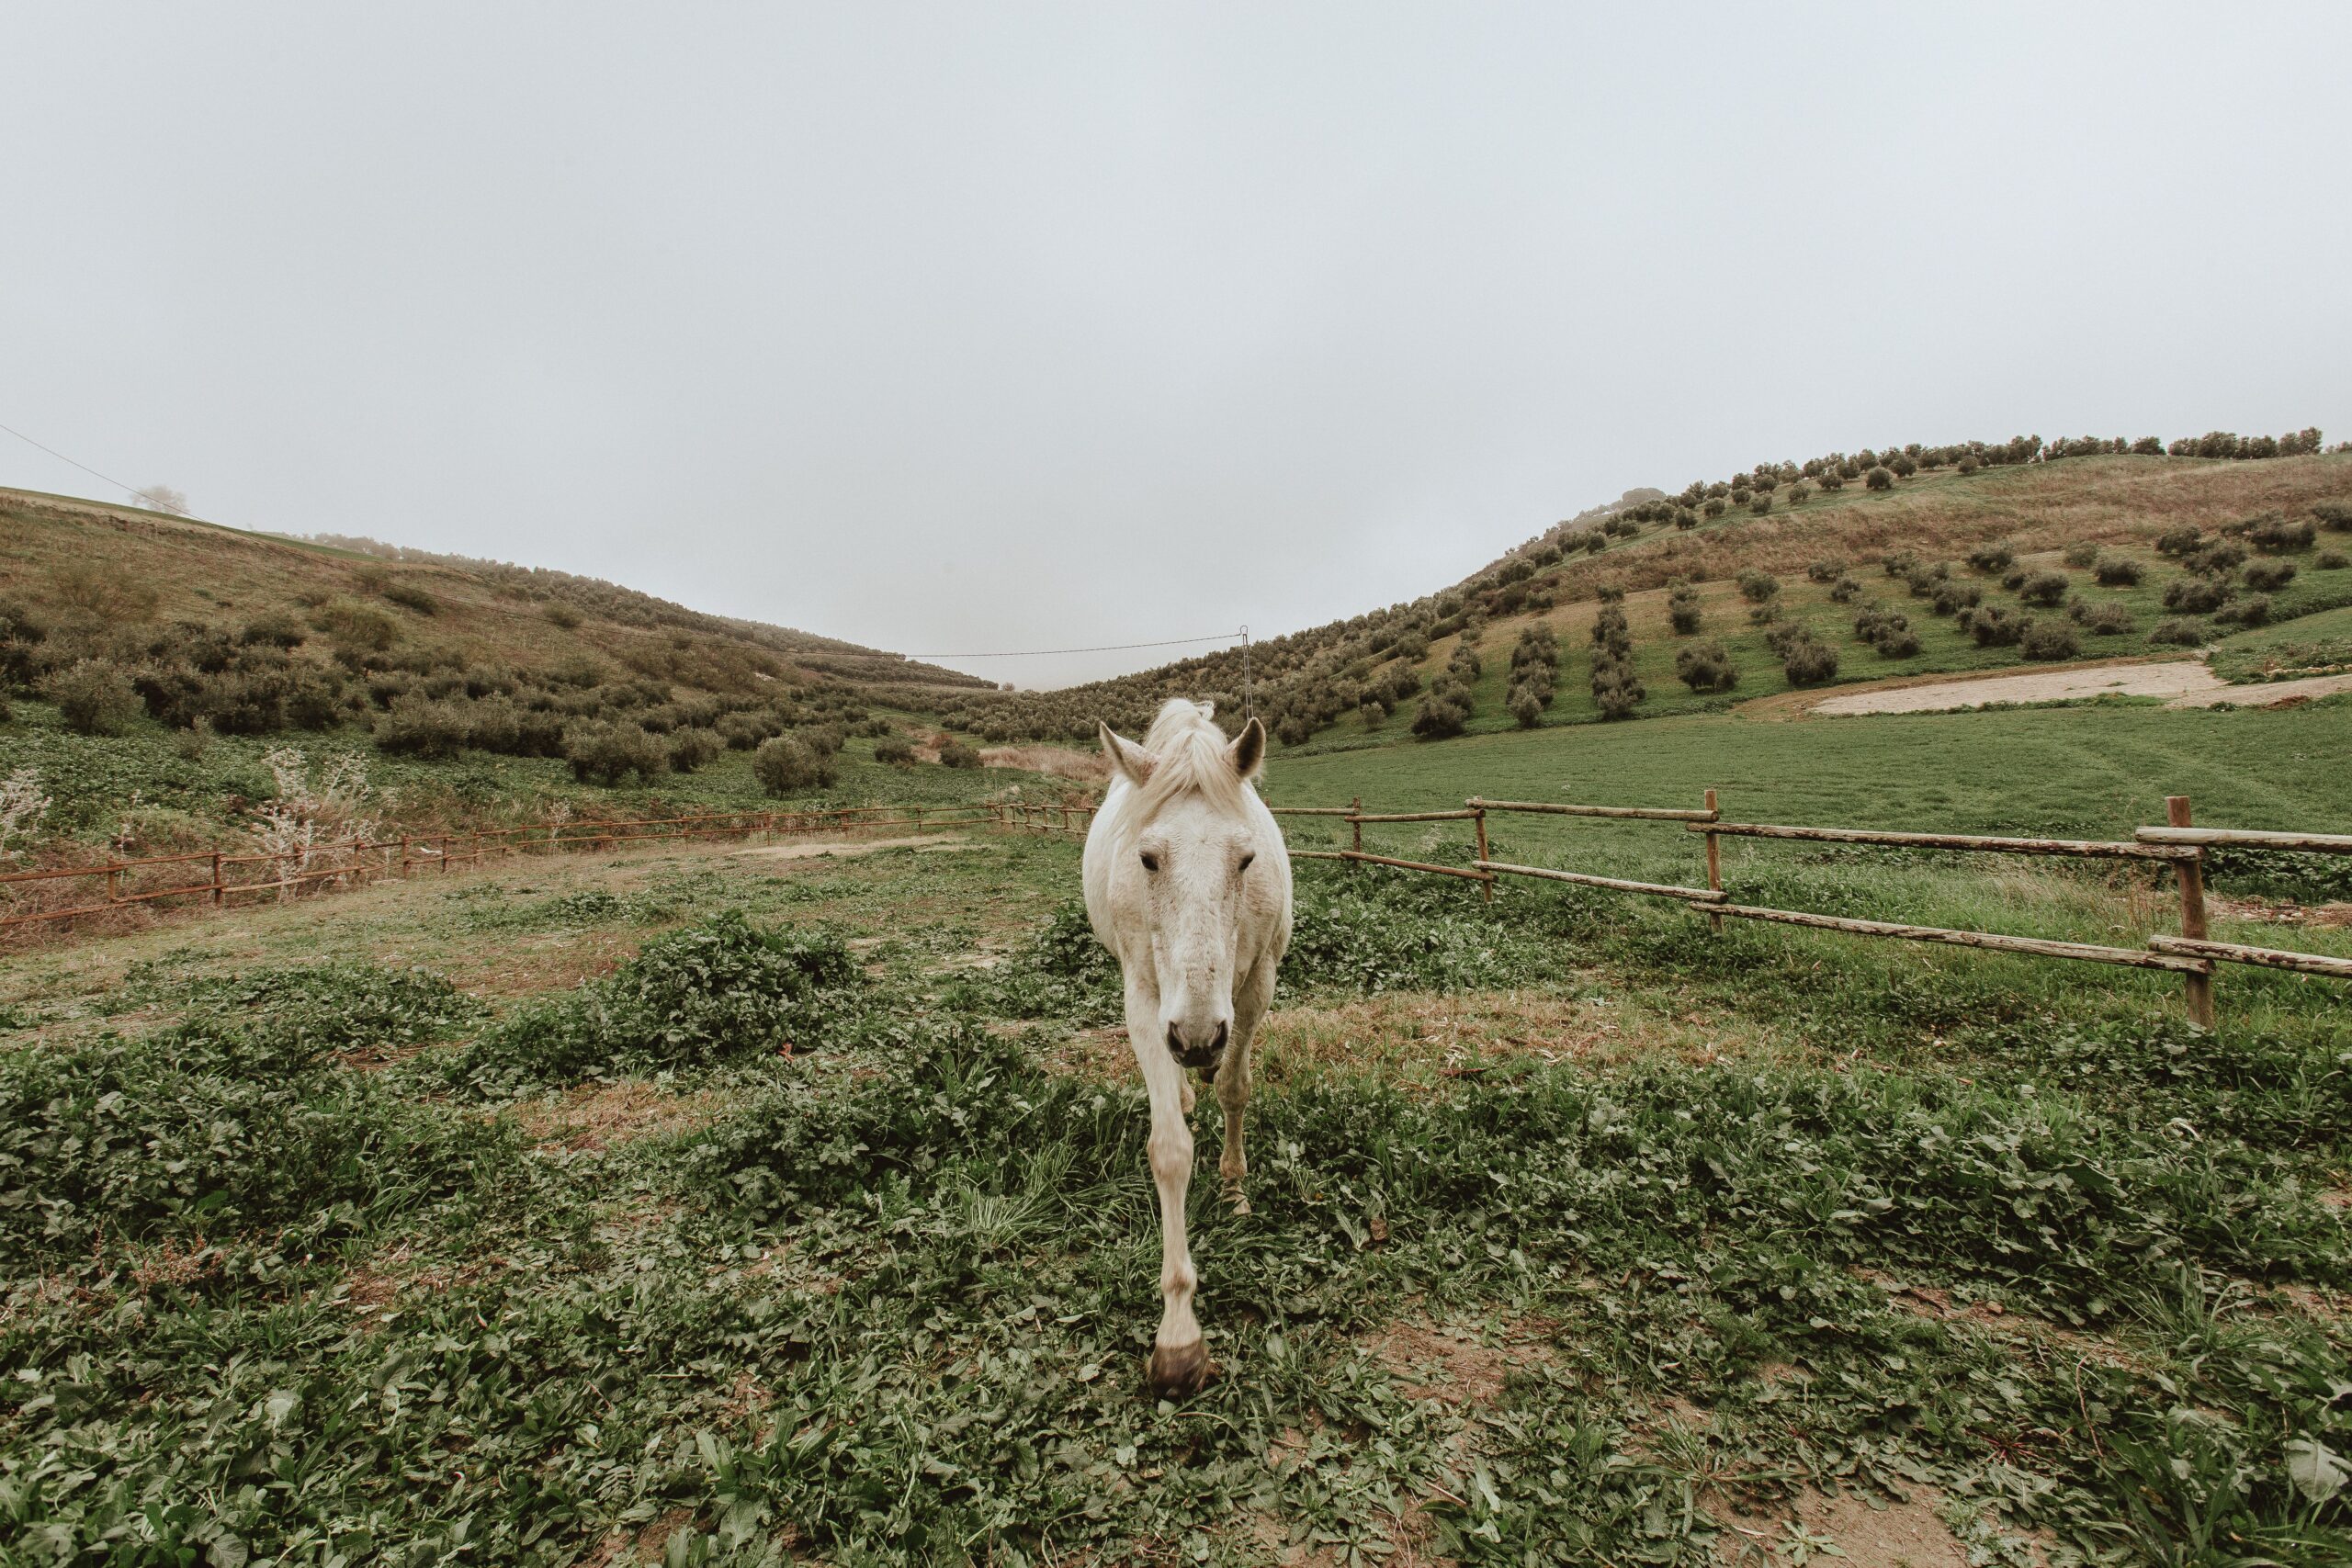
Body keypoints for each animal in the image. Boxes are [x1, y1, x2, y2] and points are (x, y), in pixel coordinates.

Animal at [1084, 698, 1292, 1399]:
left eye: (1246, 859)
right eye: (1148, 859)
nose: (1197, 1037)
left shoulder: (1256, 986)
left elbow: (1235, 1088)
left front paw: (1233, 1188)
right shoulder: (1144, 1000)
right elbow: (1169, 1148)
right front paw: (1178, 1336)